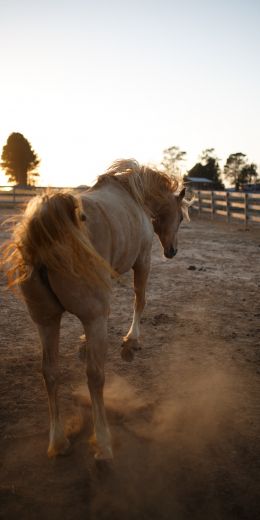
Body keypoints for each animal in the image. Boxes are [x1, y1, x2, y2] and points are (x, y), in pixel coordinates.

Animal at [2, 158, 191, 460]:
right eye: (181, 218)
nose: (172, 251)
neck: (134, 194)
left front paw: (82, 342)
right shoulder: (143, 260)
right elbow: (140, 299)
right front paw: (131, 342)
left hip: (46, 320)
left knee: (50, 373)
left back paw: (58, 441)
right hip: (93, 317)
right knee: (94, 375)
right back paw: (102, 443)